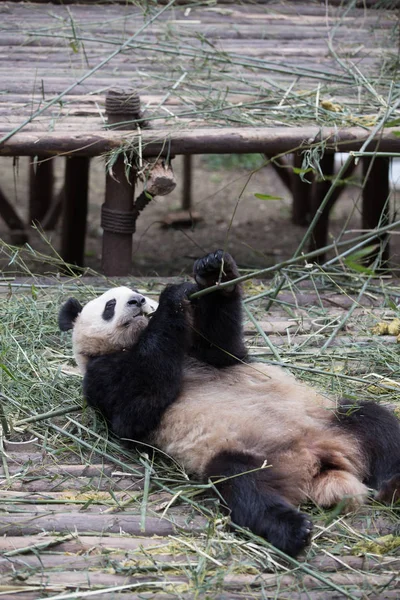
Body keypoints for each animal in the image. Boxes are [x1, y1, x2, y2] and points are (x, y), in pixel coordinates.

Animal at [58, 250, 400, 556]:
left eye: (140, 294)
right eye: (110, 305)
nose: (138, 302)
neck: (134, 342)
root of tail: (320, 464)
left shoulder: (203, 352)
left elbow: (222, 345)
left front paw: (213, 272)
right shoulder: (102, 376)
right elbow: (135, 409)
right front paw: (173, 298)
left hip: (329, 417)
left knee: (375, 422)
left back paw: (393, 483)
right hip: (244, 454)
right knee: (243, 487)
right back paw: (294, 530)